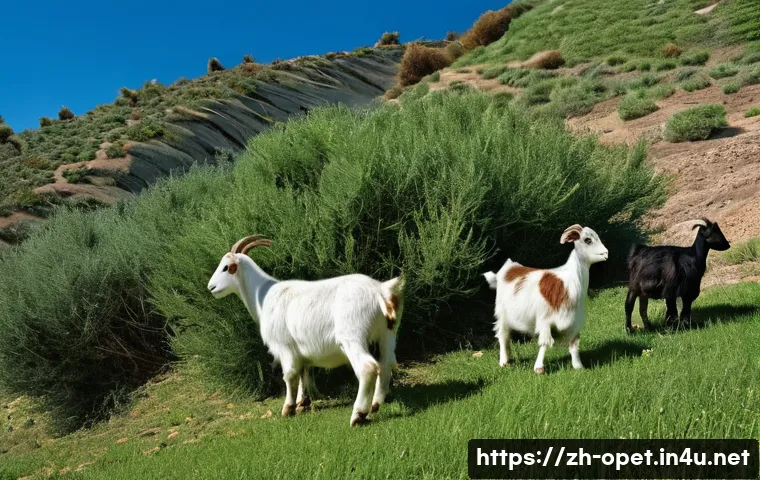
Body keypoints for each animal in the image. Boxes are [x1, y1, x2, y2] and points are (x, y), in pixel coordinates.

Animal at [207, 235, 404, 426]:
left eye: (227, 267)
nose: (211, 287)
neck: (264, 295)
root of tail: (380, 291)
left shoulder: (284, 346)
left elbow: (290, 375)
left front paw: (288, 409)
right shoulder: (301, 350)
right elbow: (304, 372)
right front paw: (303, 403)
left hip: (353, 338)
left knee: (368, 368)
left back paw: (358, 415)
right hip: (386, 336)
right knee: (386, 365)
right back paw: (375, 406)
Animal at [483, 225, 608, 374]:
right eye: (588, 240)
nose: (606, 253)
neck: (568, 284)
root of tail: (509, 267)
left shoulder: (574, 321)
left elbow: (573, 344)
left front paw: (579, 366)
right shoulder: (545, 320)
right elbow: (544, 343)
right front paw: (539, 368)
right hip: (501, 313)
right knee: (503, 336)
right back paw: (503, 361)